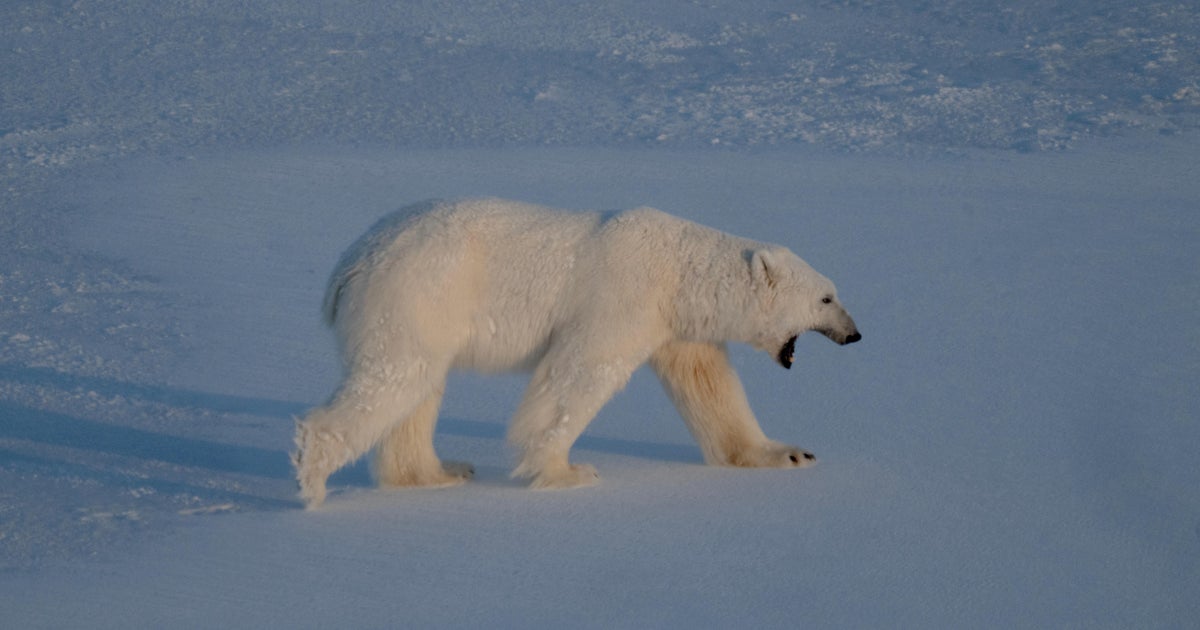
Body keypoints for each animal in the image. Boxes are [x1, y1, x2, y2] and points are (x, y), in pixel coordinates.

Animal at [293, 198, 860, 508]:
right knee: (395, 377)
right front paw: (567, 471)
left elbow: (709, 385)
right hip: (419, 292)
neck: (679, 270)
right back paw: (313, 478)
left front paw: (789, 454)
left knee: (417, 388)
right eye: (826, 298)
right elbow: (580, 371)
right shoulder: (624, 295)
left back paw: (438, 472)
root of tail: (349, 263)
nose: (855, 335)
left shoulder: (677, 325)